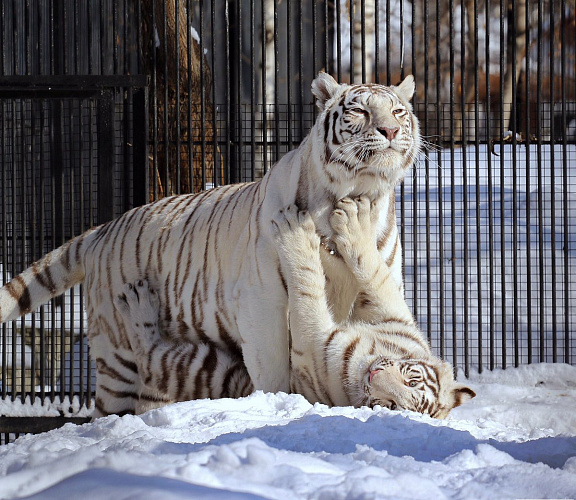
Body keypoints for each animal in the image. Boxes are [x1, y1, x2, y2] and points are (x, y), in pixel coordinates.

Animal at [0, 70, 424, 414]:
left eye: (398, 112)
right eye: (361, 111)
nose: (389, 131)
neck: (357, 193)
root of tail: (102, 229)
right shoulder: (263, 303)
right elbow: (273, 370)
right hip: (117, 355)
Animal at [115, 199, 474, 418]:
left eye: (389, 406)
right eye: (411, 380)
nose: (375, 376)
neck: (368, 353)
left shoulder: (313, 339)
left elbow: (307, 282)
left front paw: (295, 227)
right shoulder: (393, 315)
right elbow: (374, 270)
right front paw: (353, 222)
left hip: (209, 368)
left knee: (151, 359)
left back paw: (137, 303)